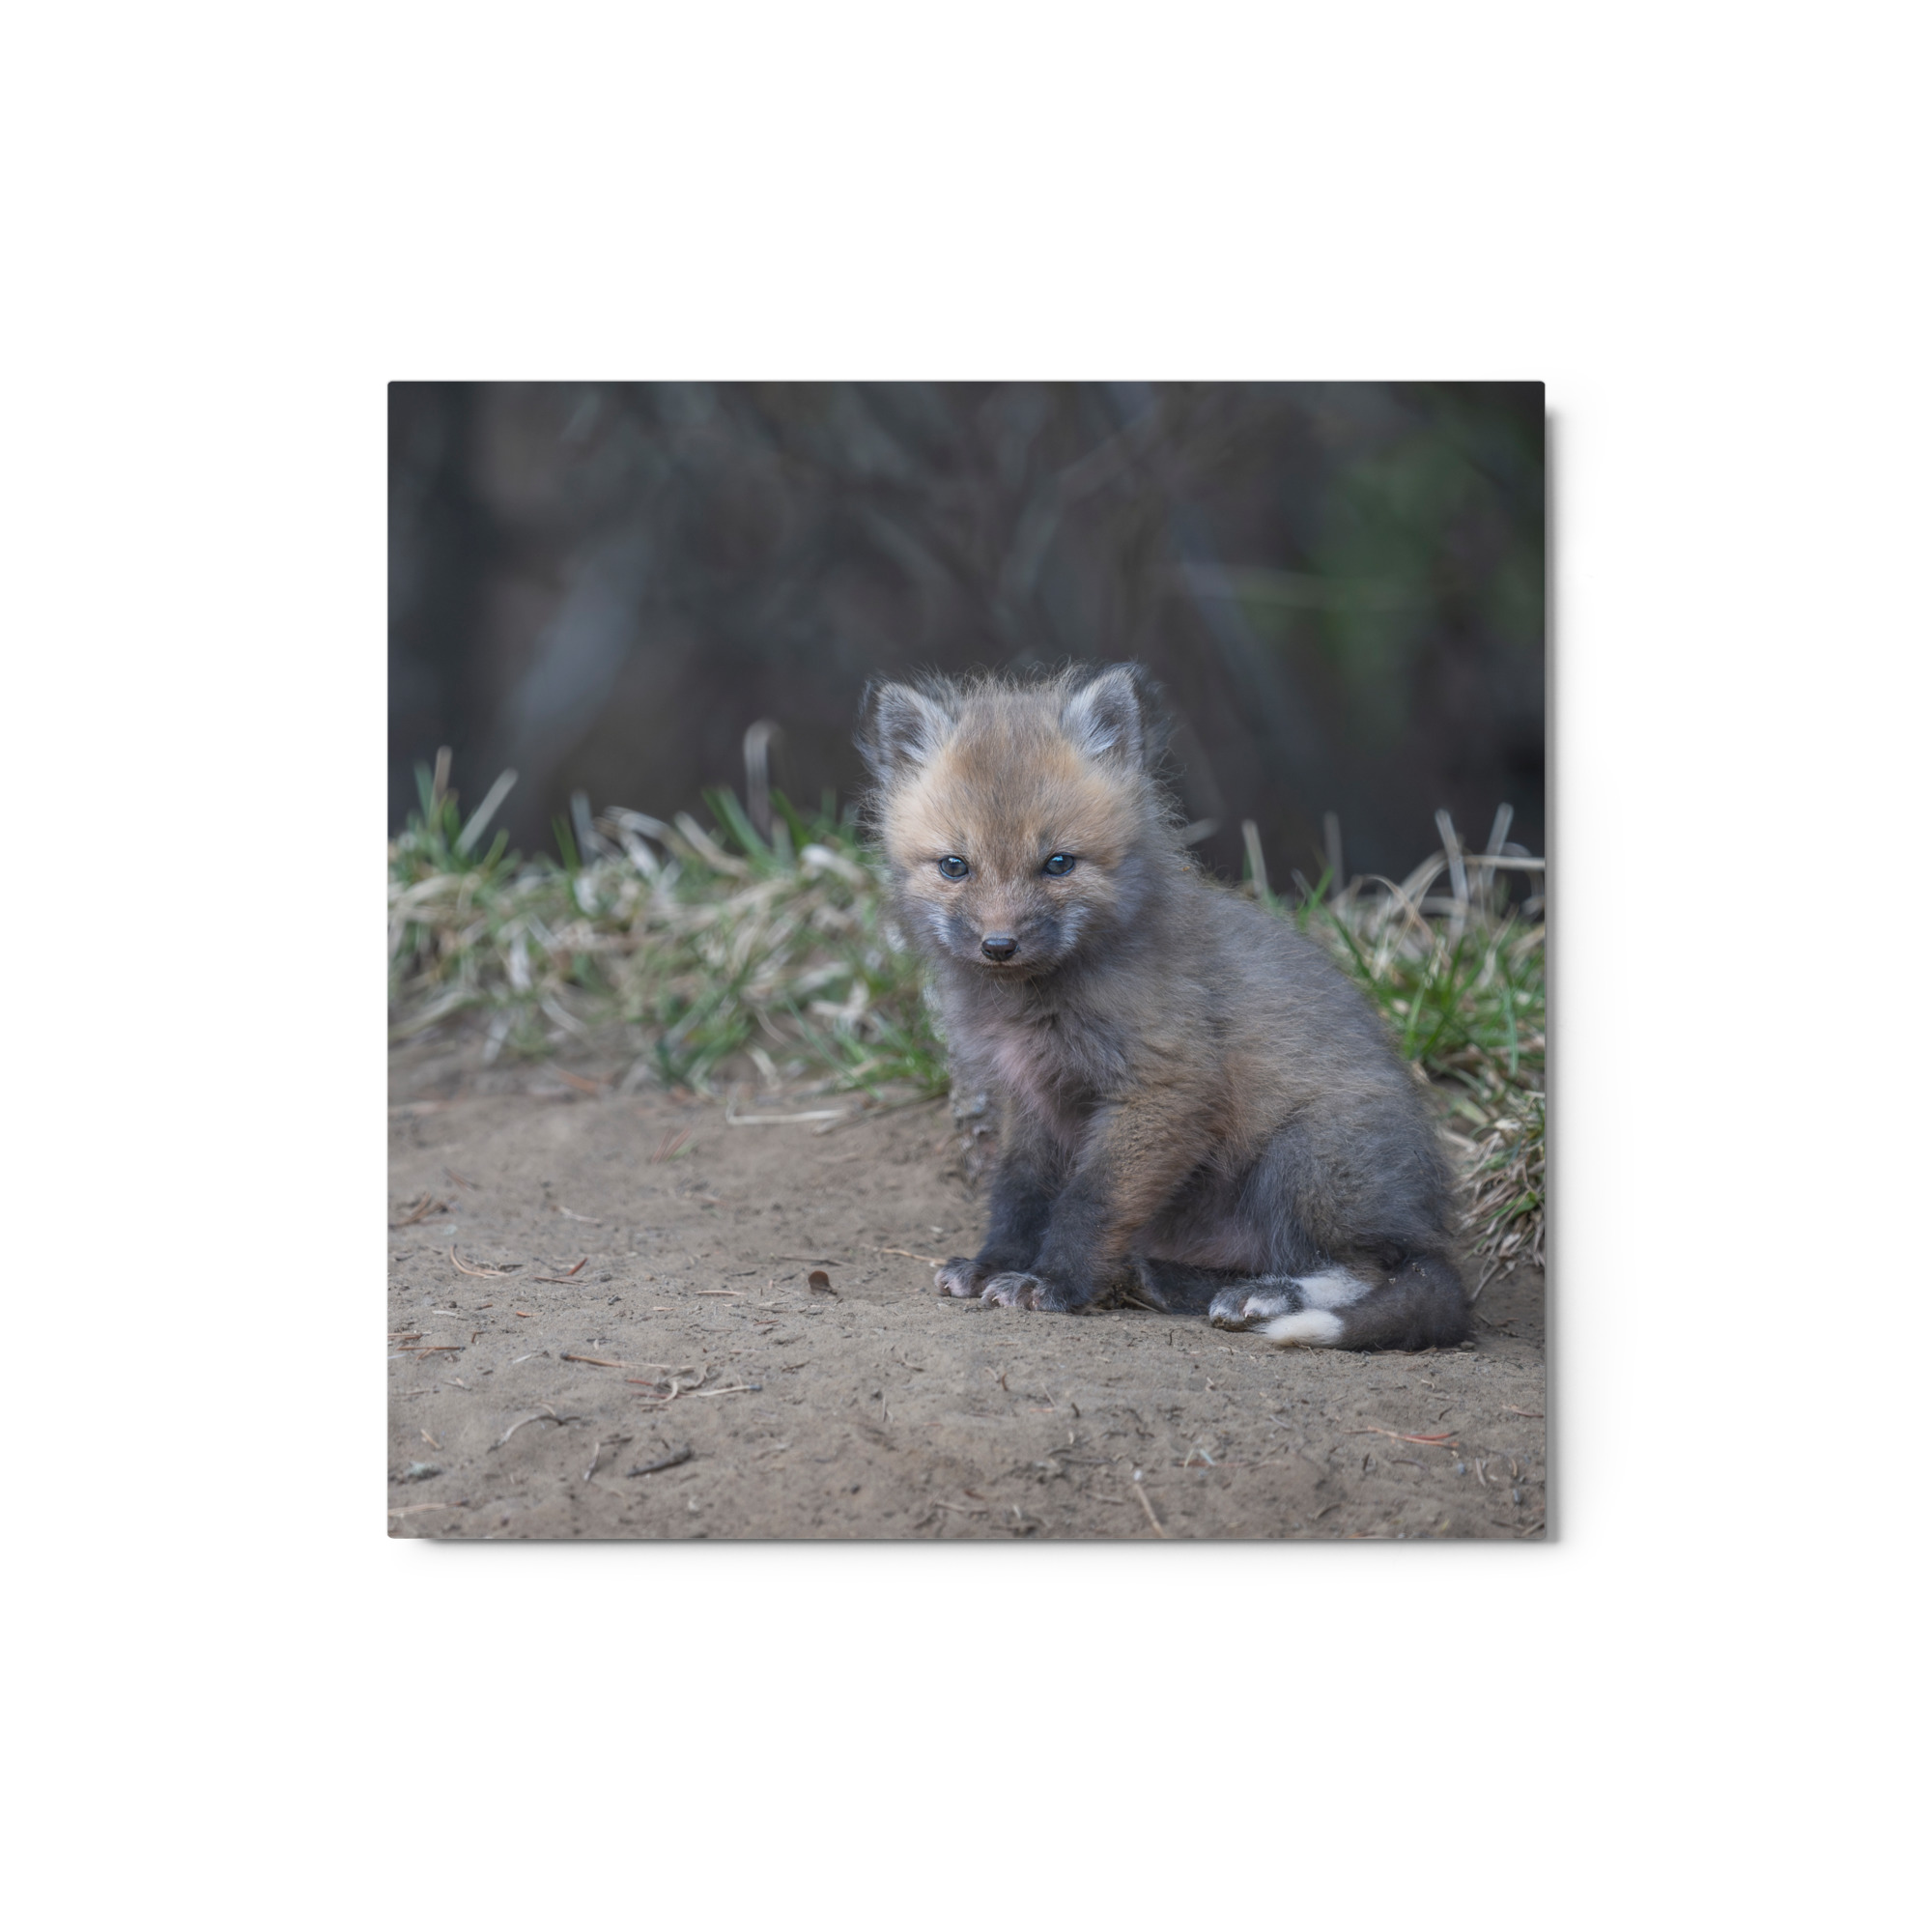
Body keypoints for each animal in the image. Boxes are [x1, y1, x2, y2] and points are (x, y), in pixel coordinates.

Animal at [855, 662, 1470, 1352]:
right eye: (955, 866)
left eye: (1058, 863)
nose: (999, 945)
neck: (1035, 1005)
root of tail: (1428, 1221)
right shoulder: (1032, 1100)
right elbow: (1018, 1194)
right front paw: (995, 1264)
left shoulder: (1163, 1086)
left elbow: (1090, 1202)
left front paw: (1055, 1284)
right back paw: (1168, 1280)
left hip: (1305, 1159)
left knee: (1375, 1269)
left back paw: (1265, 1296)